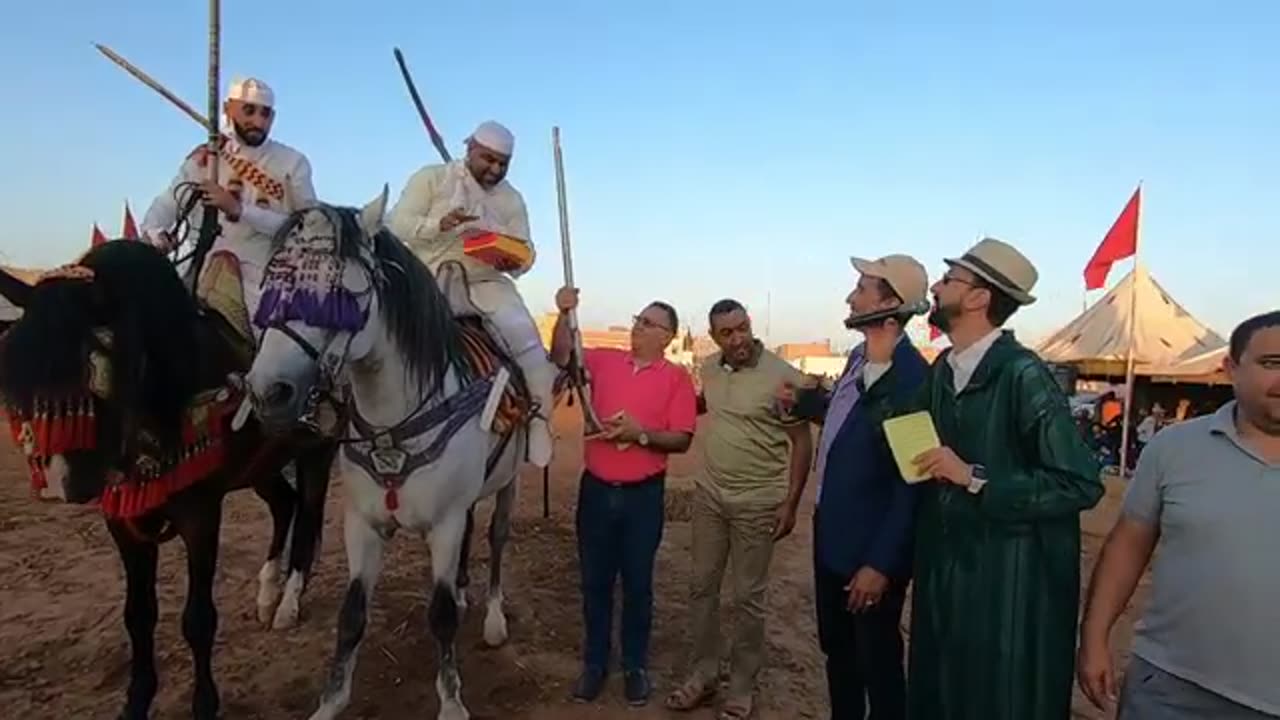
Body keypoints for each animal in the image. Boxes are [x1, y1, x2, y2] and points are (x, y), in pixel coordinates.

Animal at [0, 238, 335, 712]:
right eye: (18, 367)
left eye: (94, 362)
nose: (58, 482)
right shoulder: (123, 520)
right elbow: (138, 617)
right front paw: (137, 700)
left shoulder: (201, 516)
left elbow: (198, 619)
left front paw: (204, 703)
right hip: (261, 465)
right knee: (284, 505)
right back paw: (268, 592)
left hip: (317, 452)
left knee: (307, 519)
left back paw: (288, 602)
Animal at [241, 189, 527, 717]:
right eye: (272, 288)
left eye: (337, 295)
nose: (268, 391)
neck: (397, 422)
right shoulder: (363, 524)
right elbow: (352, 614)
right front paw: (331, 701)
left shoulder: (444, 524)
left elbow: (439, 616)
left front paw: (451, 701)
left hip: (509, 483)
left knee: (496, 539)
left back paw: (494, 618)